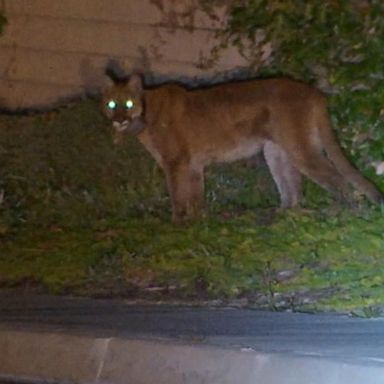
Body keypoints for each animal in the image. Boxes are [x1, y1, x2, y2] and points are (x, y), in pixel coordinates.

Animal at [100, 74, 382, 222]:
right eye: (112, 104)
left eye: (128, 103)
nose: (120, 120)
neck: (146, 112)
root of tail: (316, 92)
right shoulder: (193, 166)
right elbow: (195, 197)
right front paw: (198, 222)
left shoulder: (175, 163)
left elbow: (178, 195)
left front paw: (177, 223)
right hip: (275, 152)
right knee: (292, 189)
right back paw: (281, 216)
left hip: (301, 150)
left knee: (338, 182)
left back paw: (342, 213)